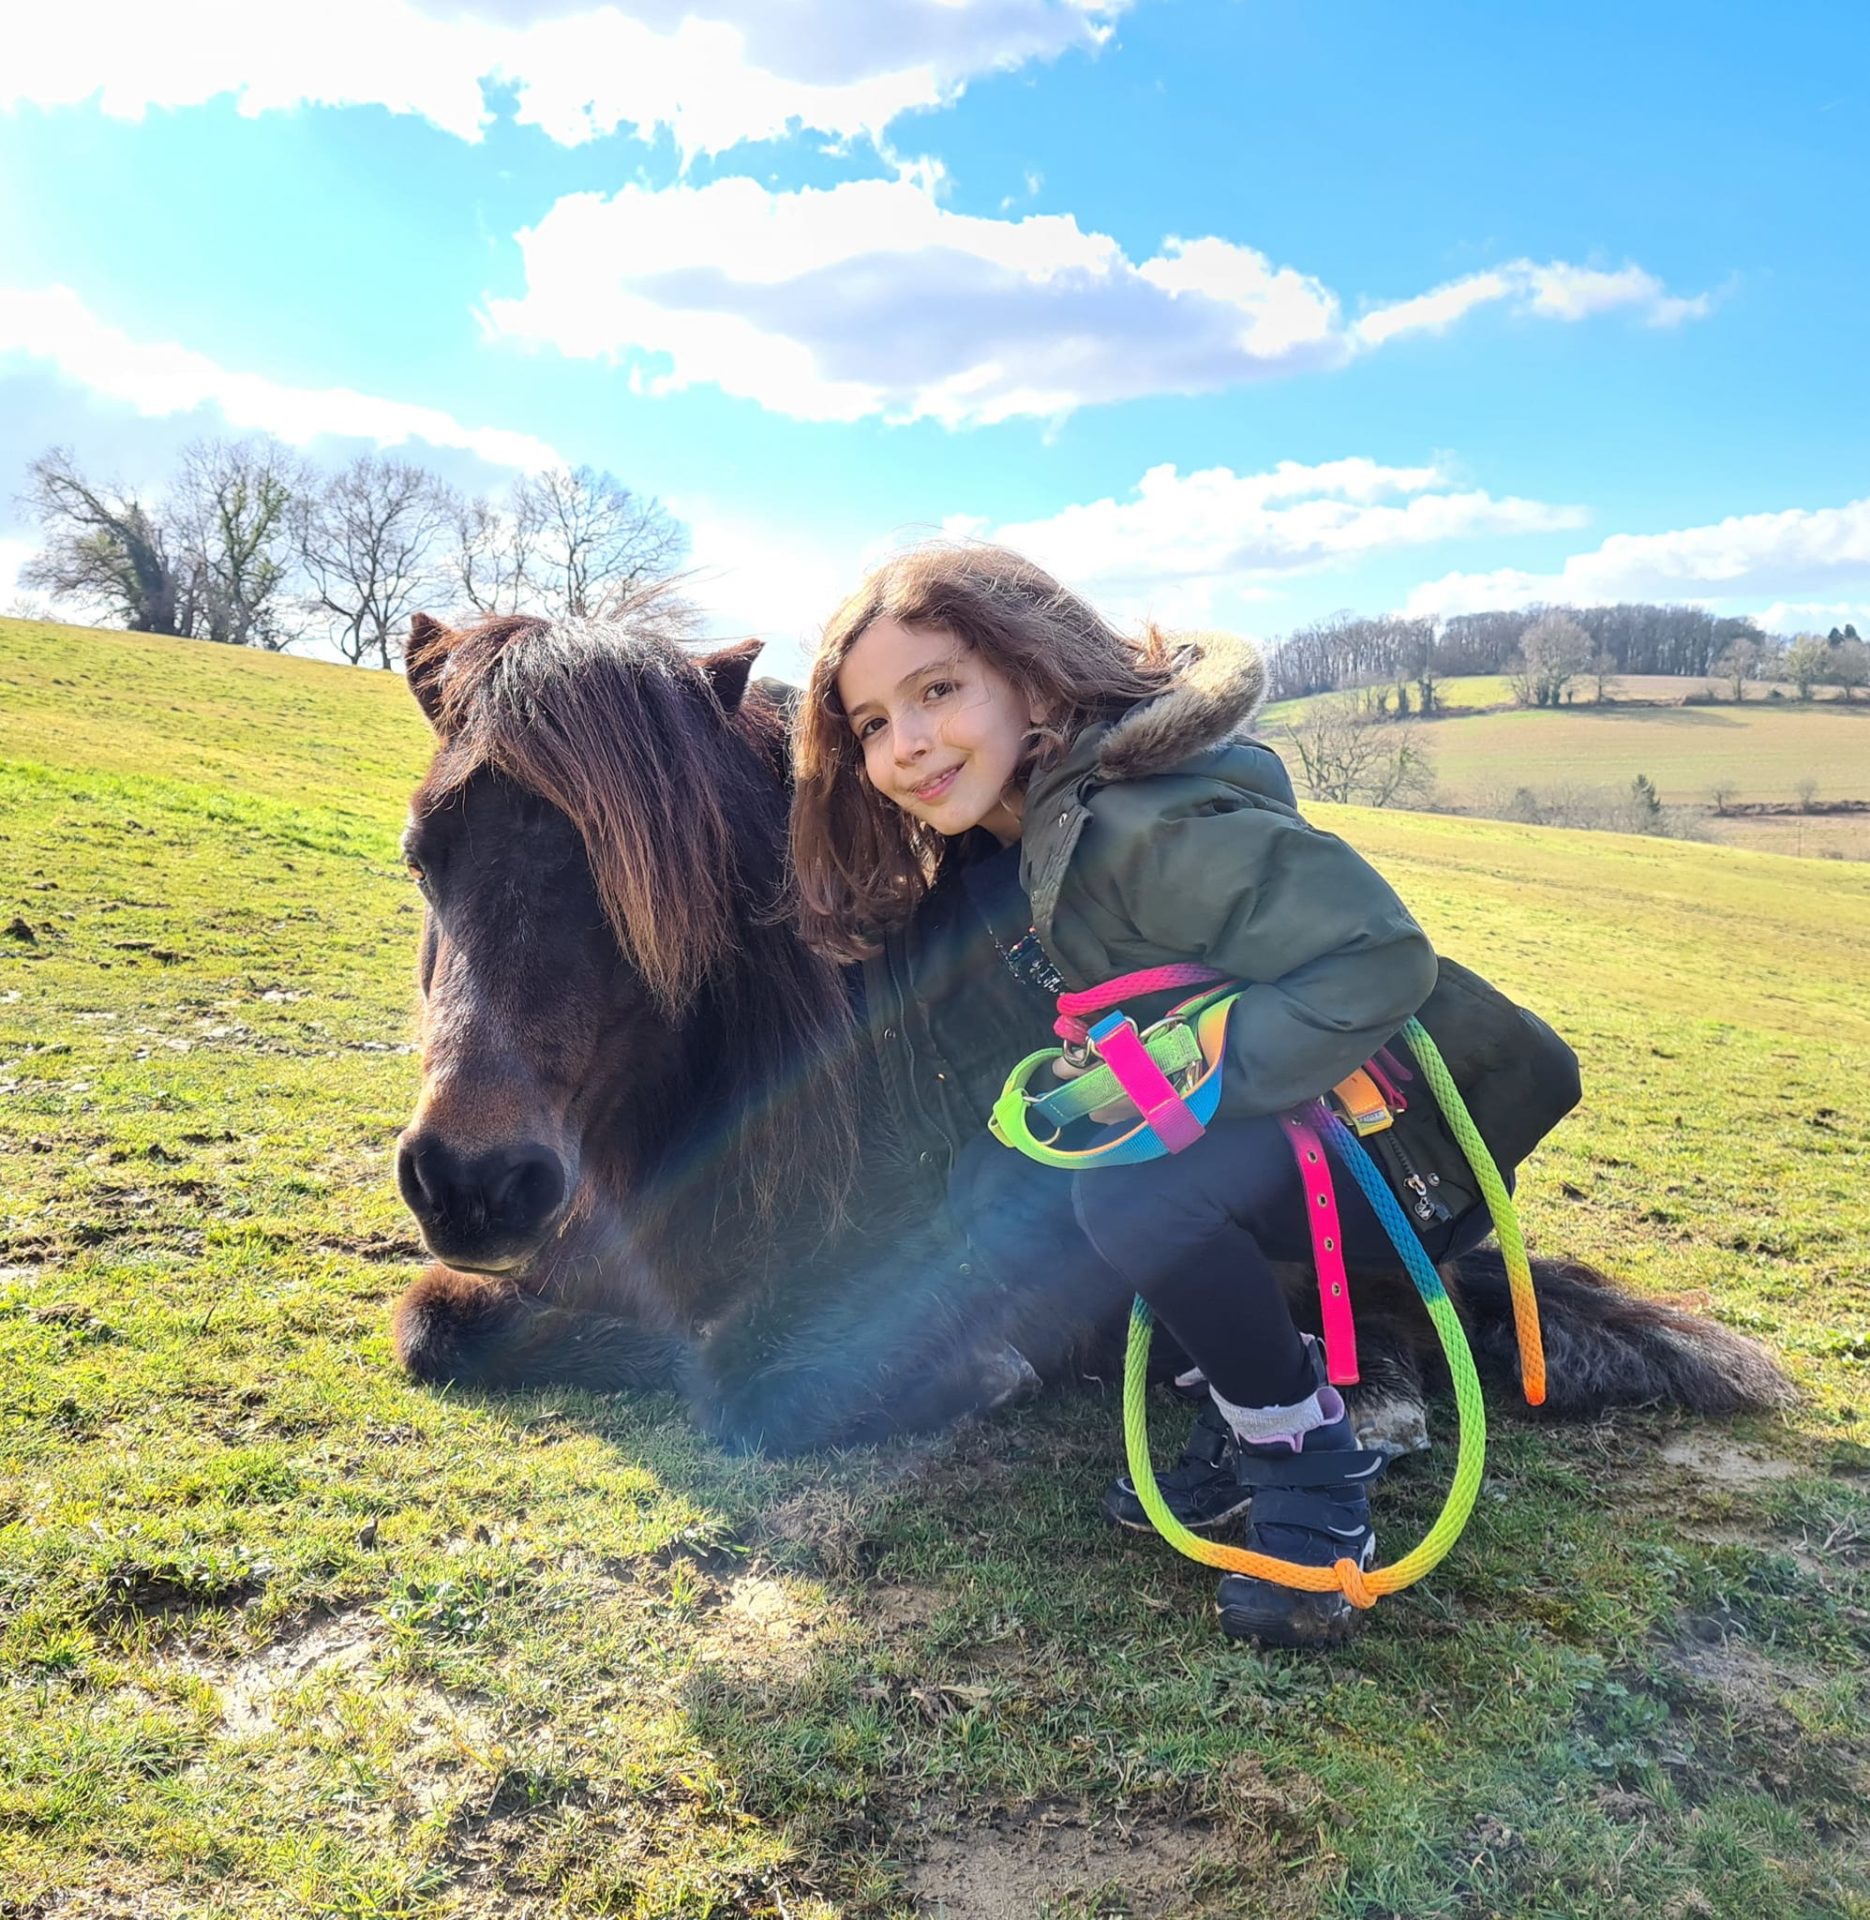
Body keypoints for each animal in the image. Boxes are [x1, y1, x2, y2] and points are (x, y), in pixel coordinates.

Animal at [391, 614, 1789, 1451]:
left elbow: (746, 1385)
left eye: (652, 890)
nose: (473, 1181)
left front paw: (982, 1373)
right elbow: (435, 1320)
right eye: (422, 856)